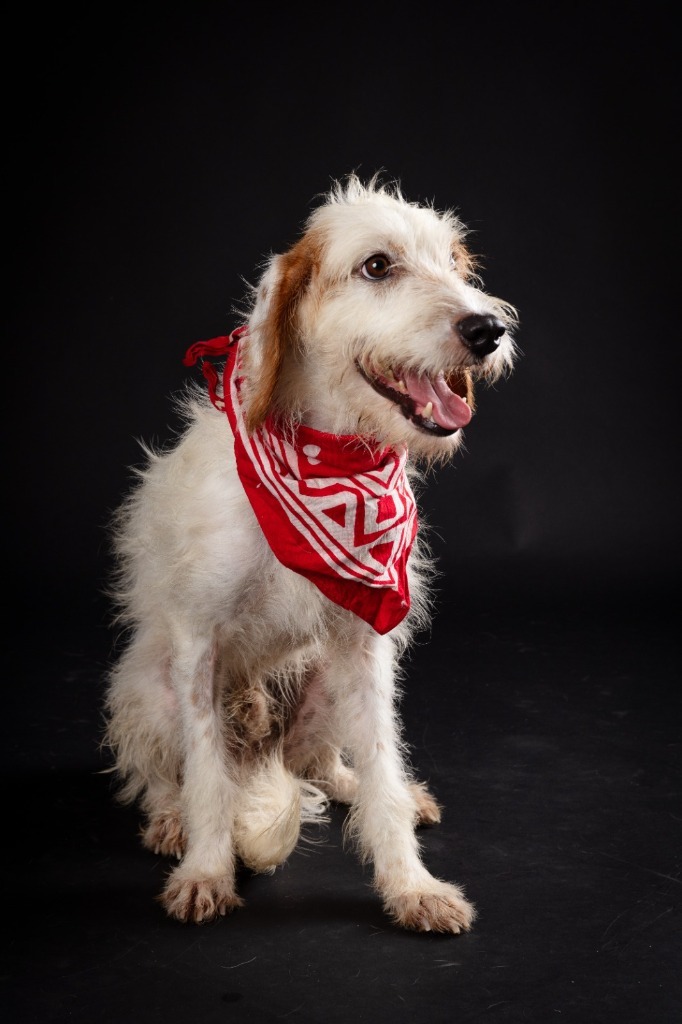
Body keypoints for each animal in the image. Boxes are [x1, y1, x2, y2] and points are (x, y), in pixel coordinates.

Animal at [103, 172, 512, 933]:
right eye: (377, 265)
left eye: (454, 263)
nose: (487, 329)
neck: (327, 459)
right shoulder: (198, 642)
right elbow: (207, 772)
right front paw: (206, 870)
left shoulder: (365, 643)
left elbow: (381, 759)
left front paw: (410, 882)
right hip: (147, 690)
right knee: (161, 774)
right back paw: (169, 819)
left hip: (326, 683)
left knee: (323, 763)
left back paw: (375, 789)